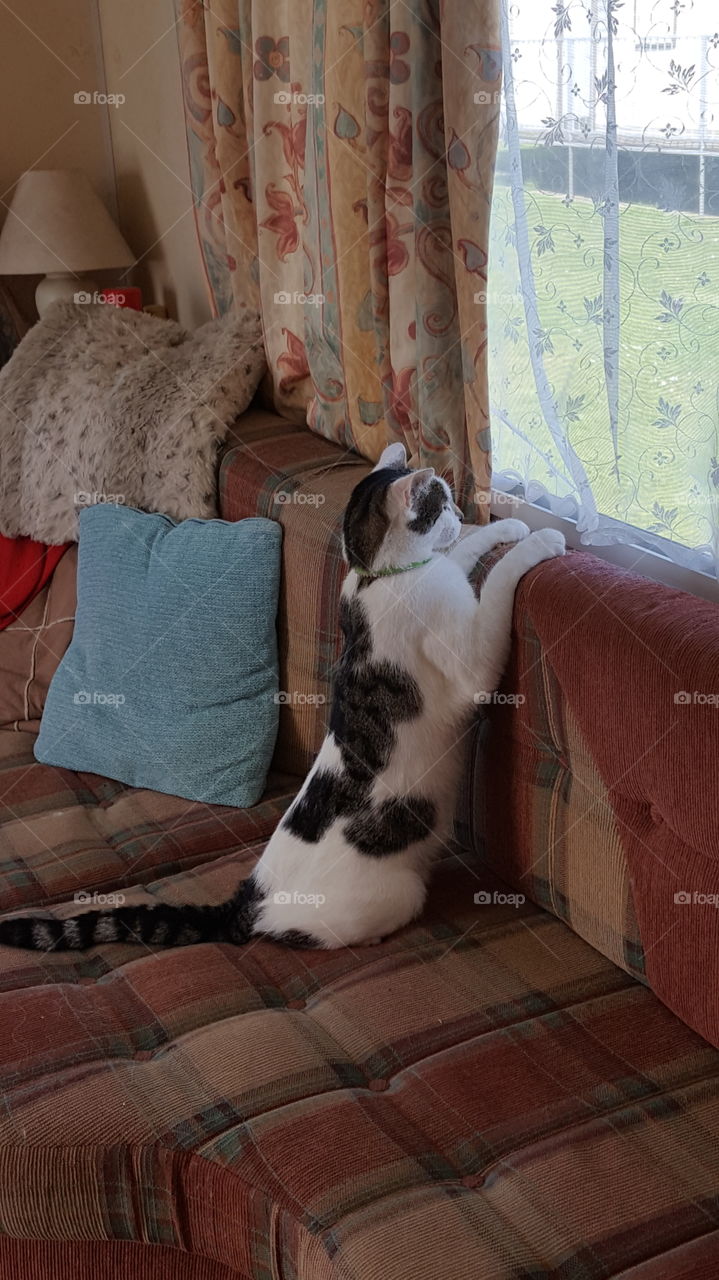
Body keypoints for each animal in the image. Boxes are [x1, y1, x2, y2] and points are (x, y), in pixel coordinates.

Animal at [0, 445, 562, 957]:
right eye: (441, 504)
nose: (462, 515)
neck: (375, 578)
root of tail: (249, 898)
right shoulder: (472, 664)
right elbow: (495, 587)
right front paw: (539, 540)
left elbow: (460, 558)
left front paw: (506, 529)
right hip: (400, 891)